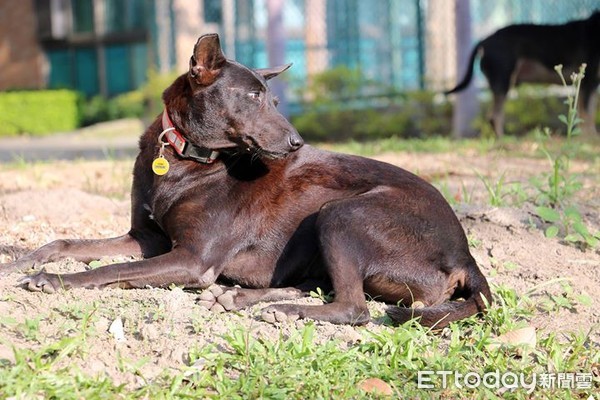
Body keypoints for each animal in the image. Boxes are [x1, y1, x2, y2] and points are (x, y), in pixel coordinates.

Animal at [1, 33, 492, 328]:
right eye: (254, 97)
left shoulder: (192, 259)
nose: (297, 143)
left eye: (272, 100)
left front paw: (53, 280)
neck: (183, 157)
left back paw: (277, 309)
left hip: (342, 213)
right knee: (323, 287)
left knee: (353, 309)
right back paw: (239, 298)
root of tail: (465, 254)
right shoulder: (146, 237)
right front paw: (20, 261)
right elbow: (69, 243)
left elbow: (112, 270)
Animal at [446, 10, 600, 137]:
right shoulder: (588, 83)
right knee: (495, 116)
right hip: (503, 82)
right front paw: (589, 139)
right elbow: (587, 114)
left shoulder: (590, 85)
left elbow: (585, 114)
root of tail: (483, 41)